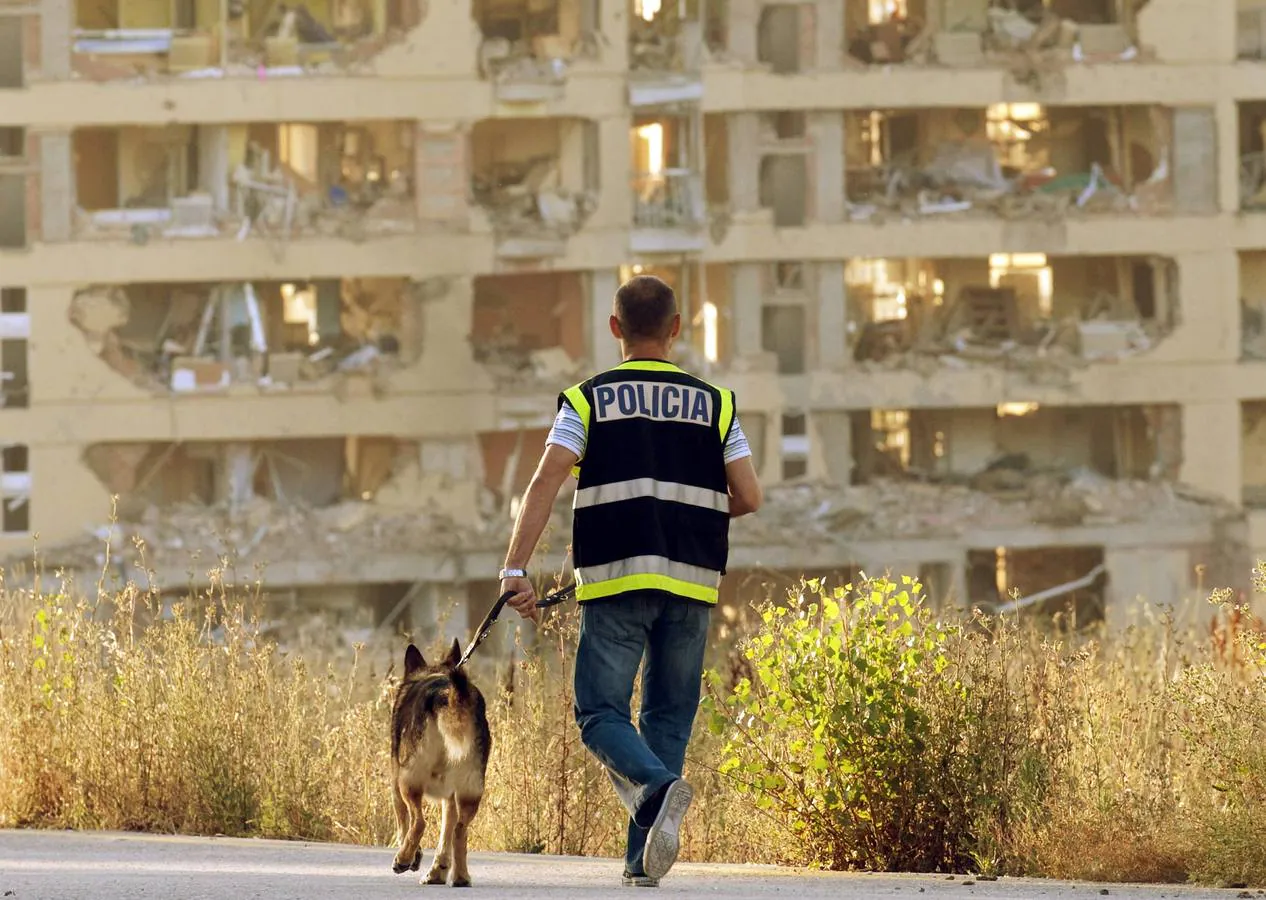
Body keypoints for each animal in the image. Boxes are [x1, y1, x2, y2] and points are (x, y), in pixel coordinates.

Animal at [389, 640, 488, 886]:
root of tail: (451, 694)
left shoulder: (395, 784)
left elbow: (403, 825)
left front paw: (413, 856)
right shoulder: (451, 798)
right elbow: (446, 836)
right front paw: (437, 872)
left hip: (408, 781)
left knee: (419, 822)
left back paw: (403, 859)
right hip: (470, 790)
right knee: (460, 831)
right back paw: (460, 877)